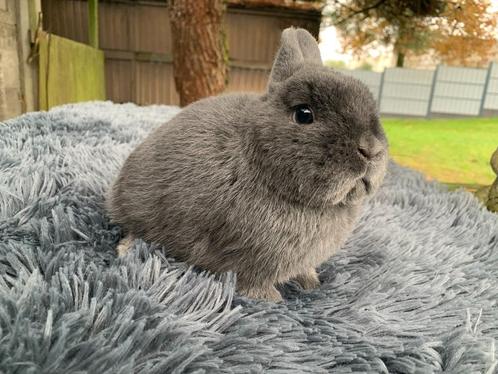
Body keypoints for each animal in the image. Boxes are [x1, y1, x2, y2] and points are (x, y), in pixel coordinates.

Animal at [108, 27, 390, 300]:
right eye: (303, 114)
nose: (371, 149)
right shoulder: (247, 259)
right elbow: (252, 282)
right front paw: (273, 300)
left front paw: (312, 283)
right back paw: (126, 250)